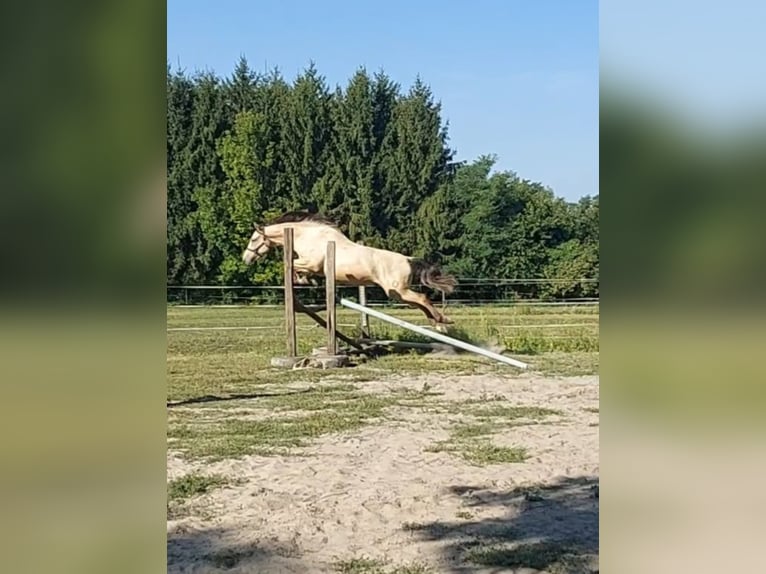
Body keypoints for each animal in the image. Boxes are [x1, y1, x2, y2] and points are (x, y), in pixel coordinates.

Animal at [241, 211, 457, 325]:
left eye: (253, 239)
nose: (246, 259)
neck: (308, 235)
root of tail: (407, 259)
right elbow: (296, 268)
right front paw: (305, 280)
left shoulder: (312, 262)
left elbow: (292, 266)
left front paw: (302, 279)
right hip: (399, 294)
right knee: (419, 303)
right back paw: (437, 322)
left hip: (397, 290)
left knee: (422, 298)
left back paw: (443, 320)